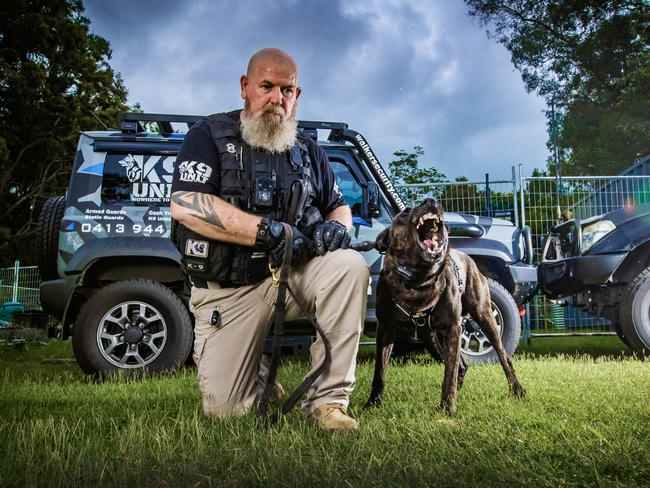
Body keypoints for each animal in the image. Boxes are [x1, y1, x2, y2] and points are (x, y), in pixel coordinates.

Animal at [368, 198, 524, 416]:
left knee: (503, 356)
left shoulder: (452, 328)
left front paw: (447, 408)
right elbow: (379, 372)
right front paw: (372, 404)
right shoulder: (386, 329)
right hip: (438, 334)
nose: (430, 200)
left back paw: (517, 389)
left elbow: (448, 374)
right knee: (462, 364)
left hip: (483, 316)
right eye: (406, 212)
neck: (418, 281)